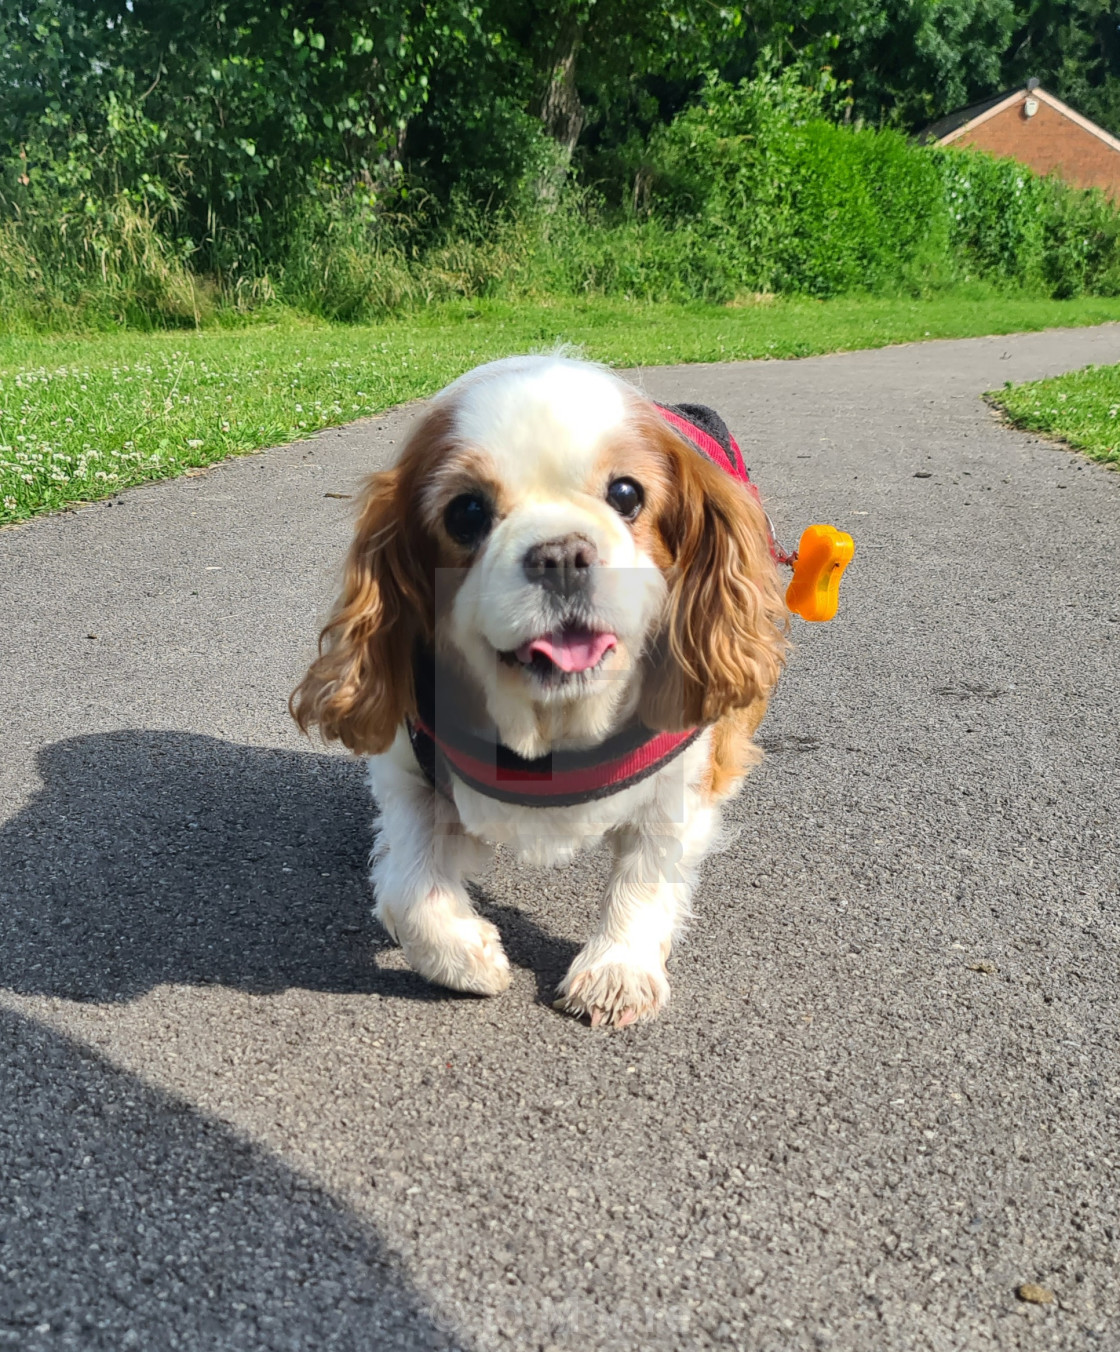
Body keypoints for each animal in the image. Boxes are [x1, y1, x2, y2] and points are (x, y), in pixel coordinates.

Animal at [290, 354, 789, 1027]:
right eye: (466, 513)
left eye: (626, 494)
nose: (561, 554)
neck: (551, 722)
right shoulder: (410, 770)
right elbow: (406, 888)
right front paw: (464, 958)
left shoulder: (679, 786)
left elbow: (647, 875)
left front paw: (617, 969)